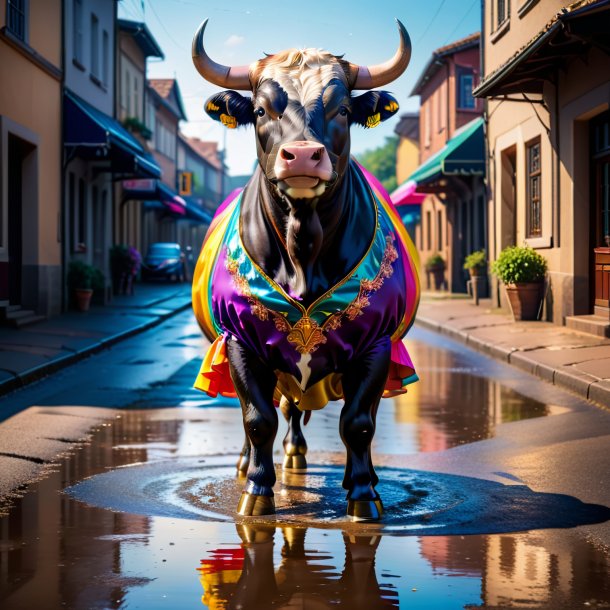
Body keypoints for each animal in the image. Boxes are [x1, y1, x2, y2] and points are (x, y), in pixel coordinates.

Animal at [190, 21, 418, 520]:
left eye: (343, 109)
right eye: (261, 109)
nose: (302, 155)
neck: (303, 250)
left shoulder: (376, 343)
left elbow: (358, 423)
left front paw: (363, 494)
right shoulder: (240, 342)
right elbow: (257, 419)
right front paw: (257, 491)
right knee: (278, 410)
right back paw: (251, 463)